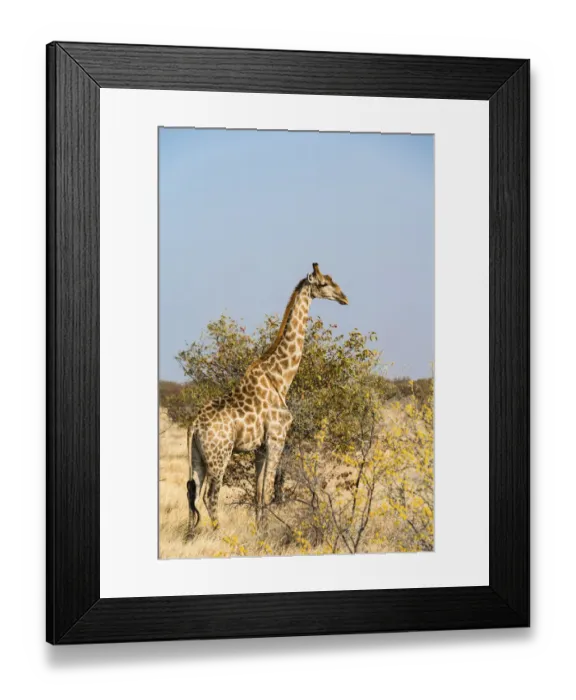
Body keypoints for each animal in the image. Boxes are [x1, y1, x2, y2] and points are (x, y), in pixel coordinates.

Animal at [186, 263, 349, 532]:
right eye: (324, 283)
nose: (344, 297)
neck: (281, 379)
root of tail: (194, 425)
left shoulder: (259, 448)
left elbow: (259, 493)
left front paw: (259, 529)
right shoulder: (276, 439)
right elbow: (269, 492)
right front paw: (268, 531)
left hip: (197, 457)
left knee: (192, 492)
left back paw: (191, 535)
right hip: (219, 456)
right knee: (210, 495)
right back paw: (218, 534)